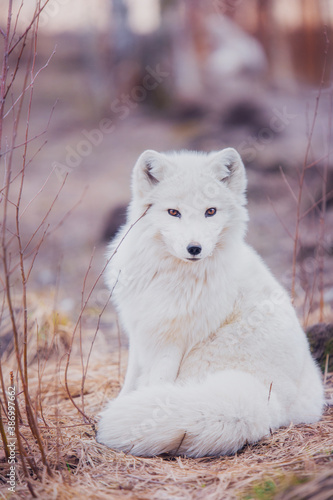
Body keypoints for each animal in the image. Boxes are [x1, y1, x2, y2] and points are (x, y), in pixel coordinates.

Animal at [95, 147, 322, 458]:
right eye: (174, 212)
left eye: (210, 211)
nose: (195, 248)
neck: (167, 273)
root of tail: (271, 402)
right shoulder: (141, 330)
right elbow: (131, 381)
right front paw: (119, 402)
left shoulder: (172, 341)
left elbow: (155, 385)